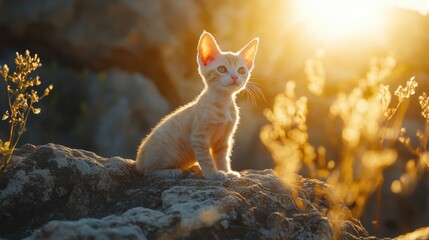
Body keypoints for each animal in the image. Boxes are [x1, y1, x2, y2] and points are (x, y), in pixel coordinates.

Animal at [135, 30, 258, 180]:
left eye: (241, 70)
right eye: (222, 69)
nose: (235, 77)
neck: (223, 102)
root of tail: (138, 161)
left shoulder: (224, 140)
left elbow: (222, 157)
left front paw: (227, 171)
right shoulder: (199, 137)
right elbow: (206, 158)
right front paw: (212, 174)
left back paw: (194, 167)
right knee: (148, 171)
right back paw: (171, 171)